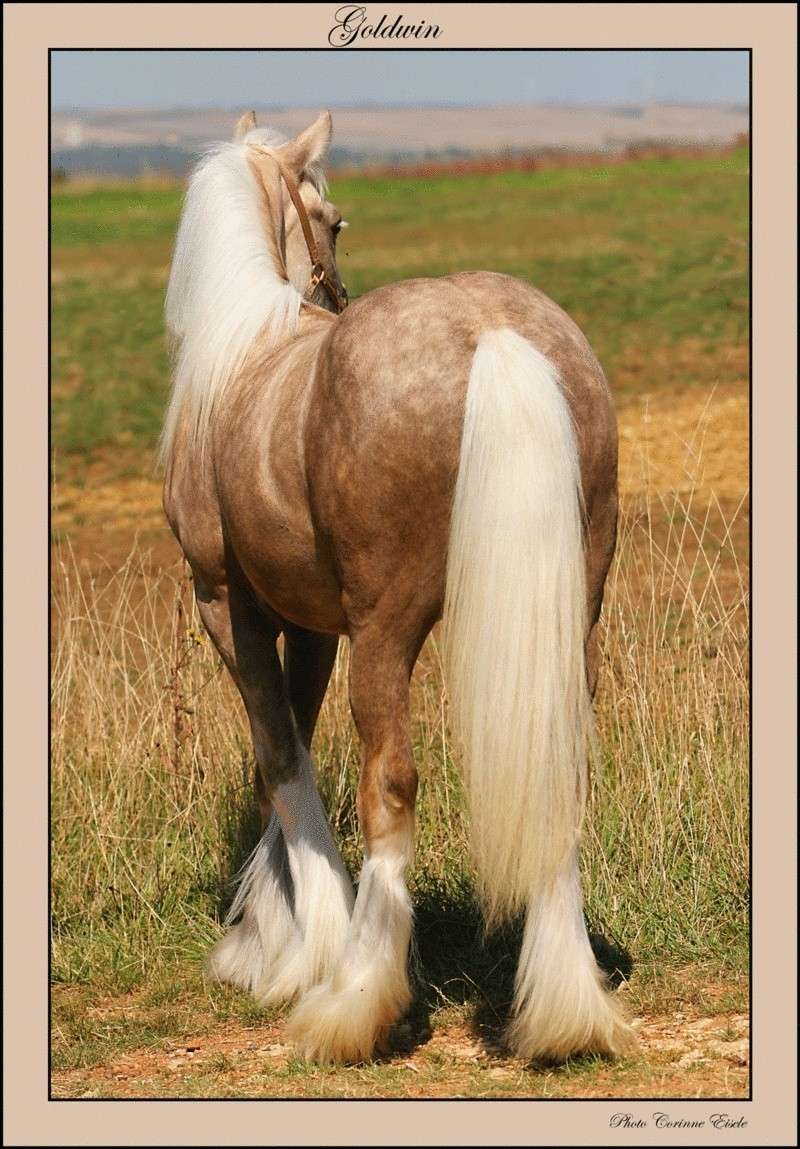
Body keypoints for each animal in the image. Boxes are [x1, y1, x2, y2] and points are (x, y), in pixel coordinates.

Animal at [162, 112, 634, 1061]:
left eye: (332, 218)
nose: (338, 287)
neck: (245, 352)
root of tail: (487, 329)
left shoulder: (227, 604)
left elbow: (280, 760)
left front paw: (288, 949)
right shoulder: (308, 625)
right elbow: (293, 752)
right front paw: (276, 936)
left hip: (386, 631)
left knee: (390, 783)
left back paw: (356, 1001)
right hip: (577, 616)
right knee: (559, 777)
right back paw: (565, 1008)